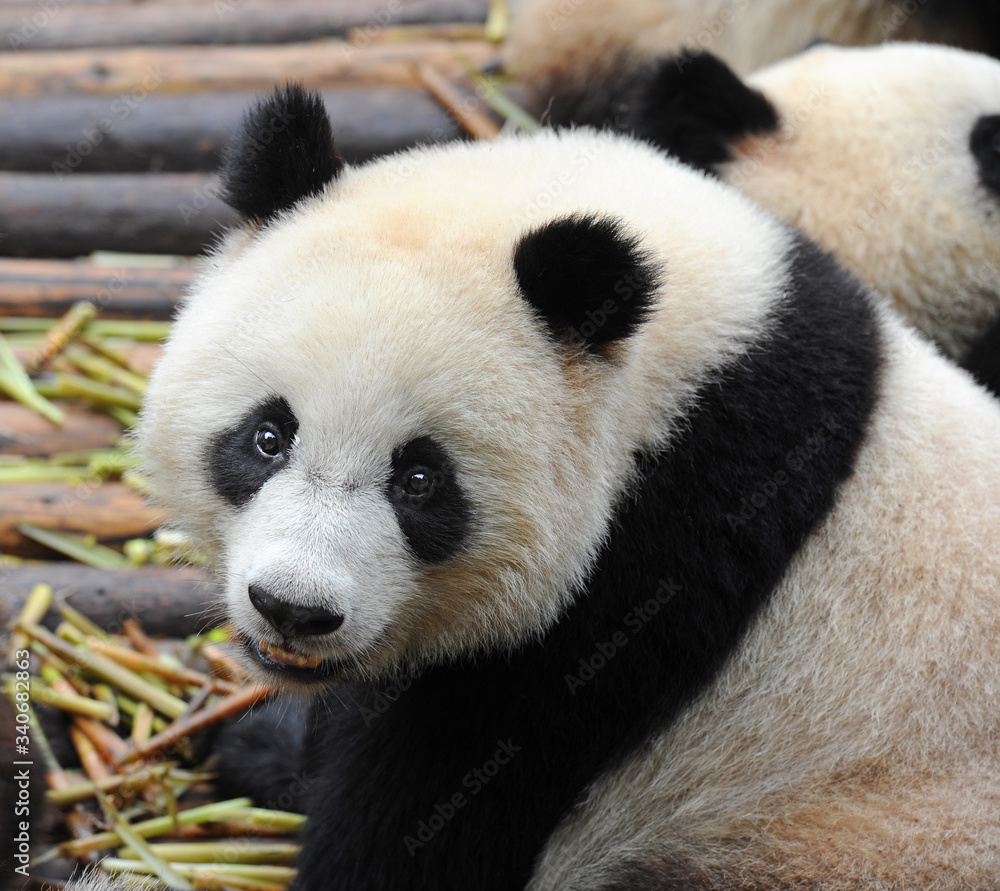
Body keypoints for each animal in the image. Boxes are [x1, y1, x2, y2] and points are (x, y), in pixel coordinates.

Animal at [135, 85, 1000, 889]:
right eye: (268, 436)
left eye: (420, 480)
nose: (293, 608)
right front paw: (266, 746)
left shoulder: (651, 575)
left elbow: (444, 807)